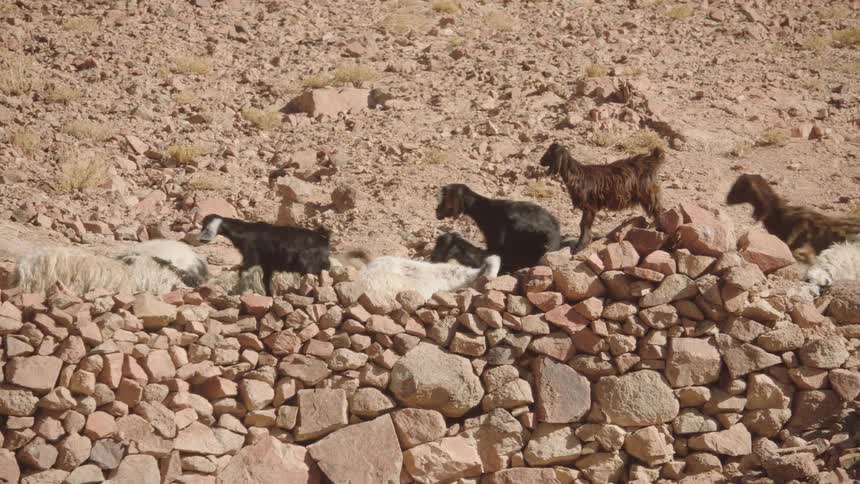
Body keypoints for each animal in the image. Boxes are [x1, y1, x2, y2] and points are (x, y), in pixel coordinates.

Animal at [198, 215, 332, 296]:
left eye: (206, 228)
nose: (201, 239)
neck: (245, 232)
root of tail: (325, 241)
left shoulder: (252, 256)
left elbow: (242, 271)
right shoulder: (267, 265)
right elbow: (266, 280)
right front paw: (269, 295)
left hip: (309, 265)